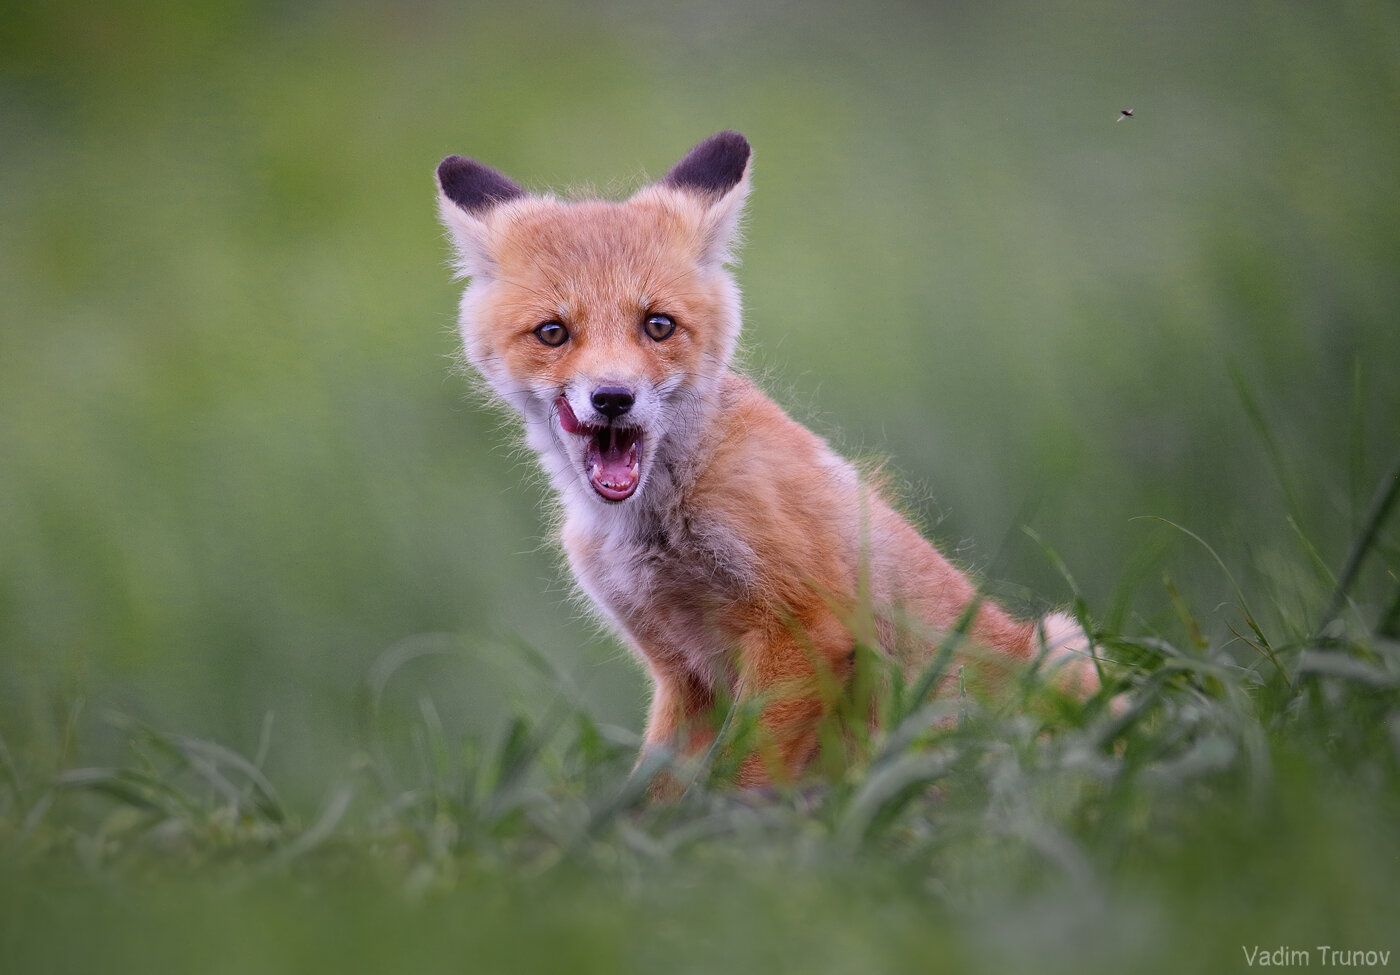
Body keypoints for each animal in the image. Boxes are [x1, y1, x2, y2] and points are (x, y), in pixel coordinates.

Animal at [434, 131, 1097, 791]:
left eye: (657, 325)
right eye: (553, 333)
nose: (613, 397)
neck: (660, 521)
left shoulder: (806, 626)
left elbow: (744, 778)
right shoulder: (681, 672)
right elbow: (655, 795)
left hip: (1062, 647)